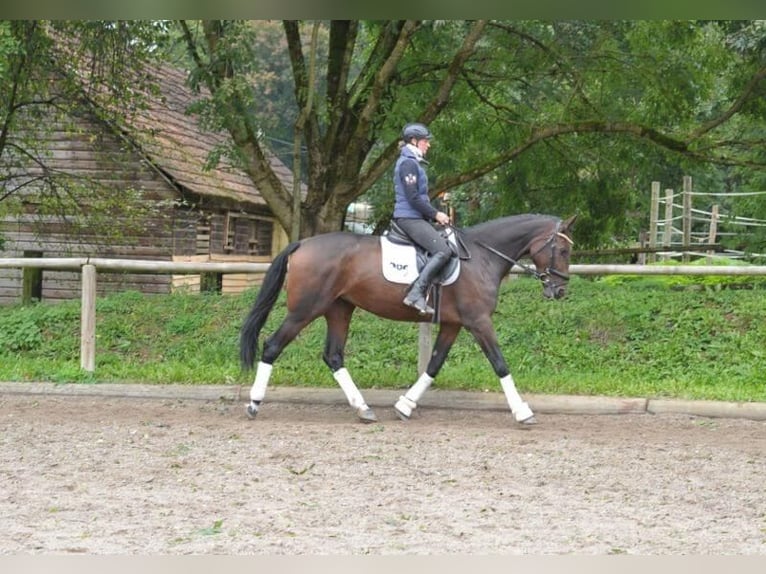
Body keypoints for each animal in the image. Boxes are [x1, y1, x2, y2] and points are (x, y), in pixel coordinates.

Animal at [240, 214, 576, 426]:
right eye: (561, 249)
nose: (559, 290)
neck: (482, 257)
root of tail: (303, 243)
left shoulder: (454, 324)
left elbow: (434, 364)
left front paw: (405, 405)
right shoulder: (478, 321)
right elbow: (500, 364)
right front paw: (522, 412)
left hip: (339, 309)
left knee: (333, 355)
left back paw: (363, 409)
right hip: (305, 310)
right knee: (272, 346)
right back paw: (254, 403)